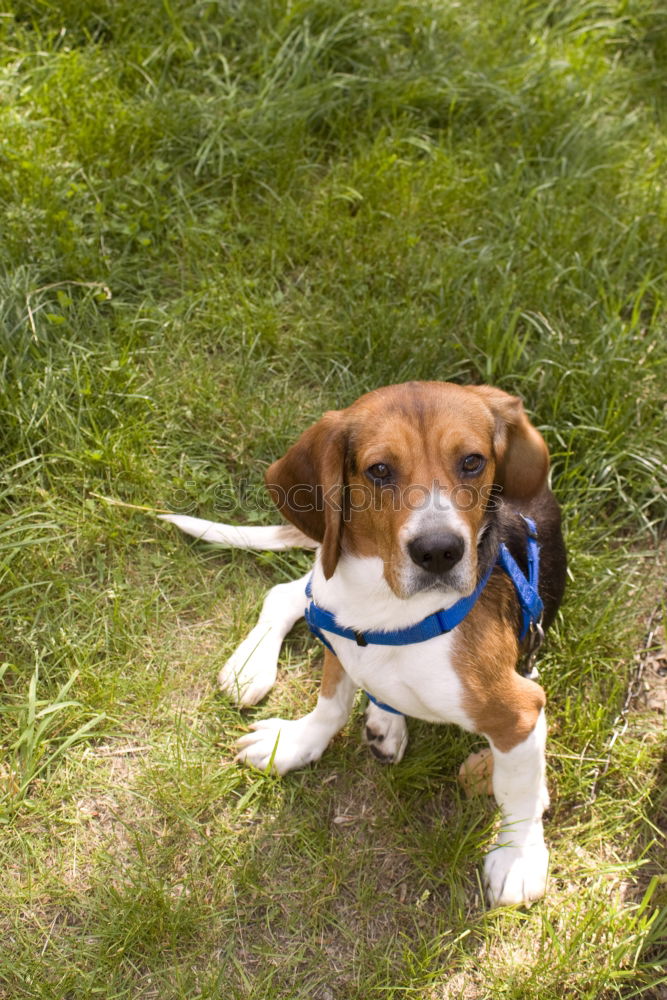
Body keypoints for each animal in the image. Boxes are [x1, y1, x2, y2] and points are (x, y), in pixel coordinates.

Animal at [162, 380, 564, 908]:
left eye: (473, 461)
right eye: (379, 470)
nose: (439, 551)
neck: (389, 612)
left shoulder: (518, 710)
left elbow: (517, 792)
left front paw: (518, 856)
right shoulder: (338, 634)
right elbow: (329, 706)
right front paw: (295, 743)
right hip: (322, 586)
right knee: (286, 592)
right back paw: (252, 667)